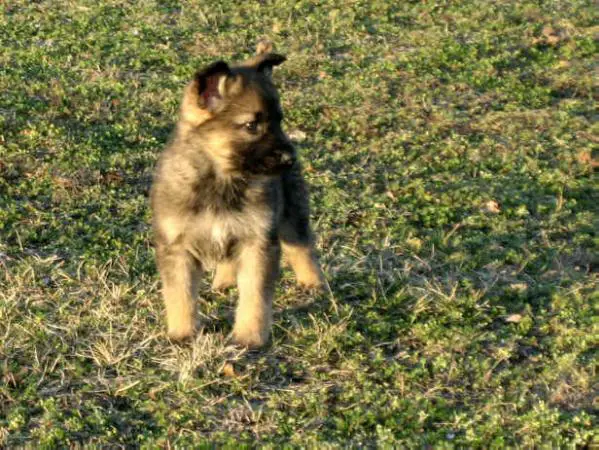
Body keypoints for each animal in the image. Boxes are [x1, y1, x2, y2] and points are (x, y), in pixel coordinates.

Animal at [152, 44, 326, 348]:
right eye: (251, 126)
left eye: (279, 121)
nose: (290, 158)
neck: (221, 180)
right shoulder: (177, 248)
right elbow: (180, 294)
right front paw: (183, 333)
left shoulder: (258, 241)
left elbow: (255, 295)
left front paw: (249, 337)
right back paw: (224, 282)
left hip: (292, 211)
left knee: (302, 246)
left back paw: (313, 284)